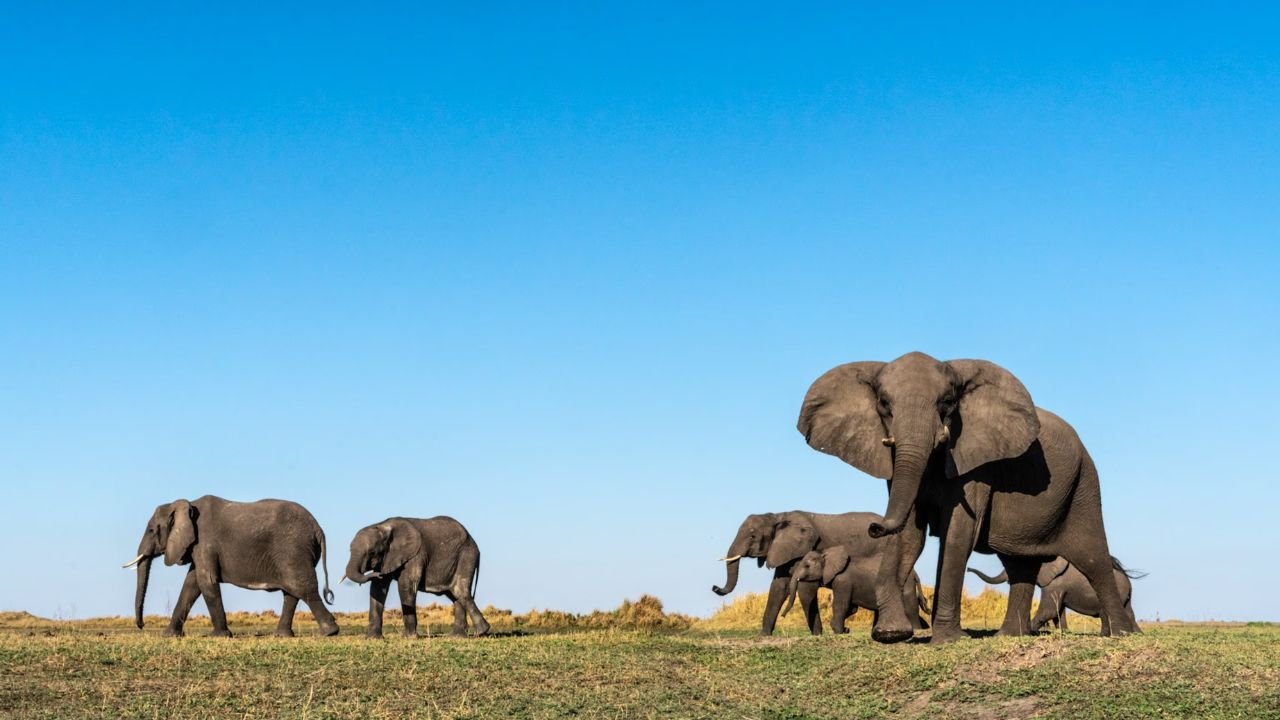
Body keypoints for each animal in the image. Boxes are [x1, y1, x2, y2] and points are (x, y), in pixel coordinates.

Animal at [123, 496, 339, 638]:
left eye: (151, 530)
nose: (141, 625)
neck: (187, 504)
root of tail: (318, 529)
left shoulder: (205, 541)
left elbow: (206, 581)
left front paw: (219, 636)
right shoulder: (198, 546)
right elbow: (191, 584)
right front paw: (168, 635)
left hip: (293, 549)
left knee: (301, 587)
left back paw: (329, 632)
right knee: (291, 592)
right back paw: (283, 636)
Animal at [345, 516, 490, 638]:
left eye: (372, 552)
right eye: (349, 550)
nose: (377, 574)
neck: (383, 525)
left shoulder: (416, 555)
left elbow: (406, 585)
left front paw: (408, 638)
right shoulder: (388, 558)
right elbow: (378, 589)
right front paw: (373, 638)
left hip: (467, 555)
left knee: (459, 590)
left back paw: (481, 632)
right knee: (454, 593)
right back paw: (457, 636)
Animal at [781, 547, 931, 634]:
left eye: (807, 566)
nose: (782, 616)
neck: (826, 554)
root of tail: (914, 573)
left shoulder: (843, 581)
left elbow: (841, 605)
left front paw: (838, 631)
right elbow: (852, 608)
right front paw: (843, 629)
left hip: (906, 585)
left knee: (910, 608)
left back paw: (917, 630)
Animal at [969, 556, 1142, 632]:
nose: (968, 569)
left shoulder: (1055, 583)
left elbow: (1049, 610)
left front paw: (1031, 631)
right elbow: (1058, 611)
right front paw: (1064, 632)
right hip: (1125, 595)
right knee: (1129, 612)